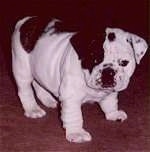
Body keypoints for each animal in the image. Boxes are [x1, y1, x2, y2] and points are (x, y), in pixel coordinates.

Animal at [11, 17, 148, 143]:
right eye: (94, 60)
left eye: (124, 63)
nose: (108, 71)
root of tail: (24, 21)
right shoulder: (71, 97)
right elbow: (74, 115)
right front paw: (77, 133)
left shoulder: (110, 92)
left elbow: (110, 102)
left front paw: (113, 114)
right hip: (22, 68)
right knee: (25, 90)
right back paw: (32, 109)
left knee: (38, 83)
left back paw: (48, 100)